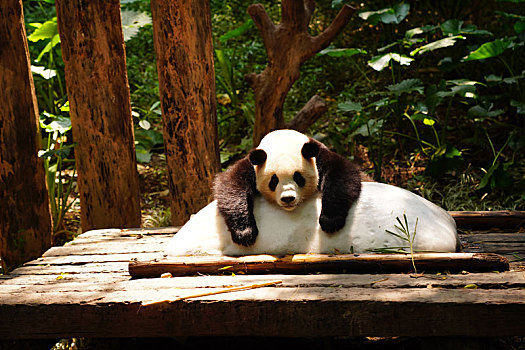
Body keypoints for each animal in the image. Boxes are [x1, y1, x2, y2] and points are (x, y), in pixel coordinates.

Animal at [166, 130, 456, 256]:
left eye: (298, 177)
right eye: (273, 181)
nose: (288, 199)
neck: (283, 140)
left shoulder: (320, 155)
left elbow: (343, 176)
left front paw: (329, 220)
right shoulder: (252, 163)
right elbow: (229, 185)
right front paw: (245, 232)